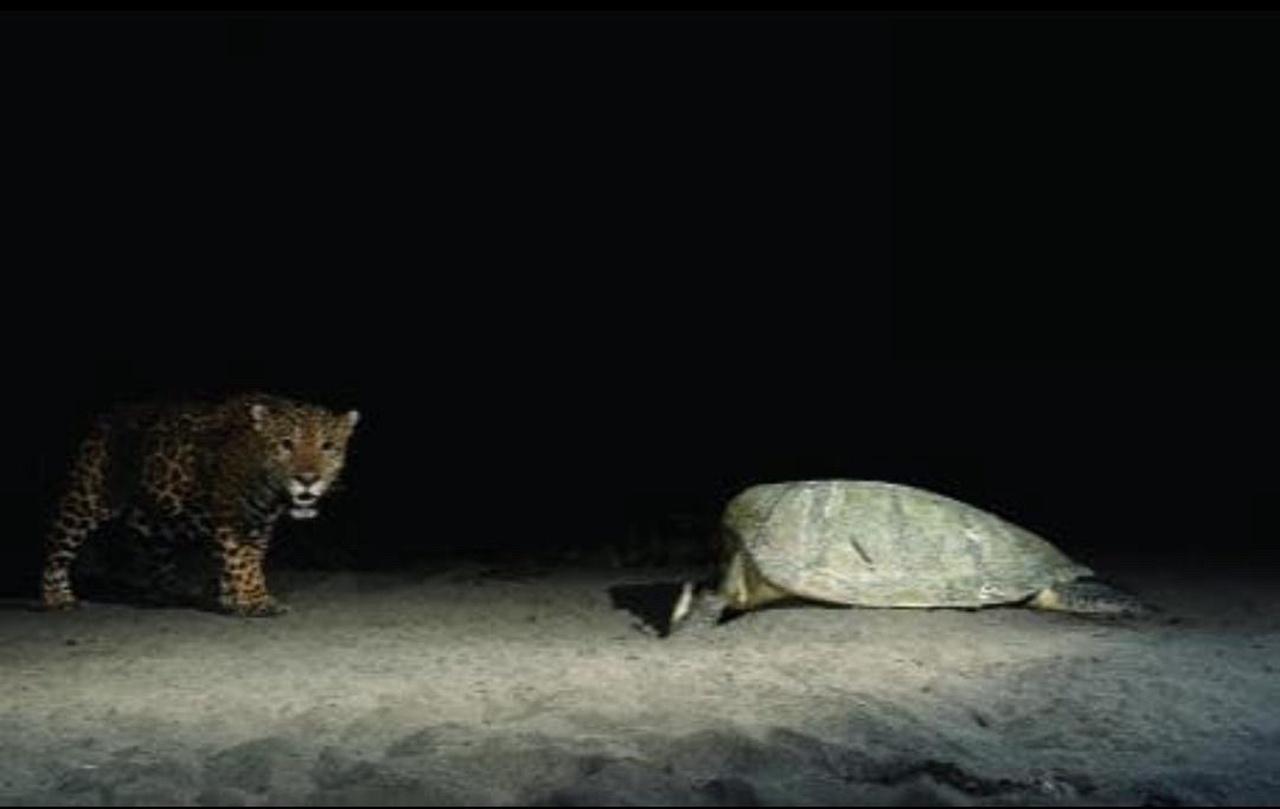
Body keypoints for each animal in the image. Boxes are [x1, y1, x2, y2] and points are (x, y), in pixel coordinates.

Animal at [40, 392, 360, 616]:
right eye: (285, 444)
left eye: (328, 446)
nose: (307, 479)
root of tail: (105, 416)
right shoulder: (232, 518)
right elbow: (243, 561)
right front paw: (257, 600)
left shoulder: (260, 523)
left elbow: (247, 560)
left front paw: (234, 597)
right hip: (85, 499)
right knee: (56, 550)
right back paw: (57, 598)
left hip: (156, 518)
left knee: (155, 554)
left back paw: (166, 593)